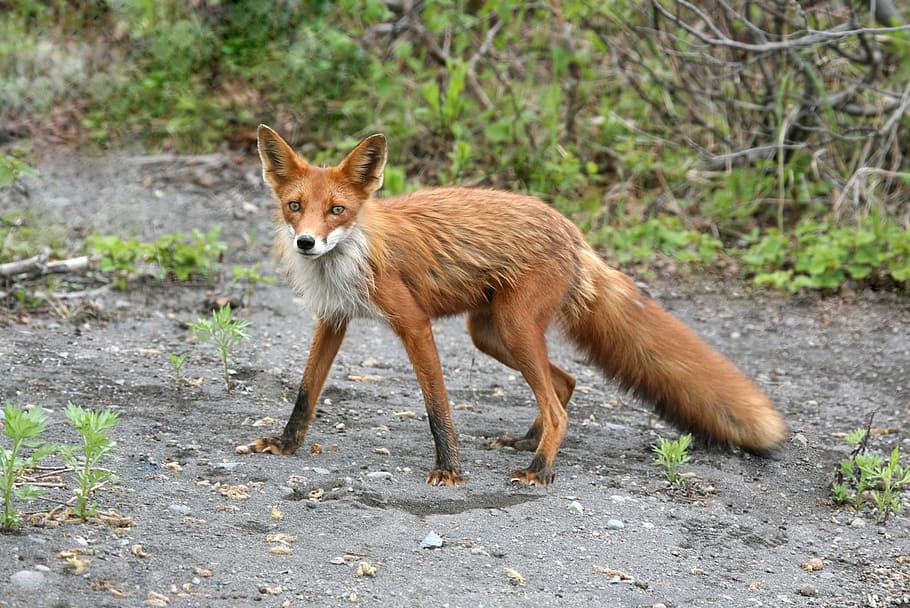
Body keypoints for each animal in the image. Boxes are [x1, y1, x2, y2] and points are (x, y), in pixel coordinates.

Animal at [236, 124, 788, 486]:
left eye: (337, 210)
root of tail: (571, 230)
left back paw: (539, 469)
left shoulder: (413, 323)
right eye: (294, 207)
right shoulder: (333, 319)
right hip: (491, 333)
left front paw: (449, 469)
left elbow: (438, 406)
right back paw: (528, 442)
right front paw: (285, 444)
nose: (307, 242)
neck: (352, 253)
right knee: (565, 383)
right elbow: (306, 393)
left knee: (558, 404)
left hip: (515, 326)